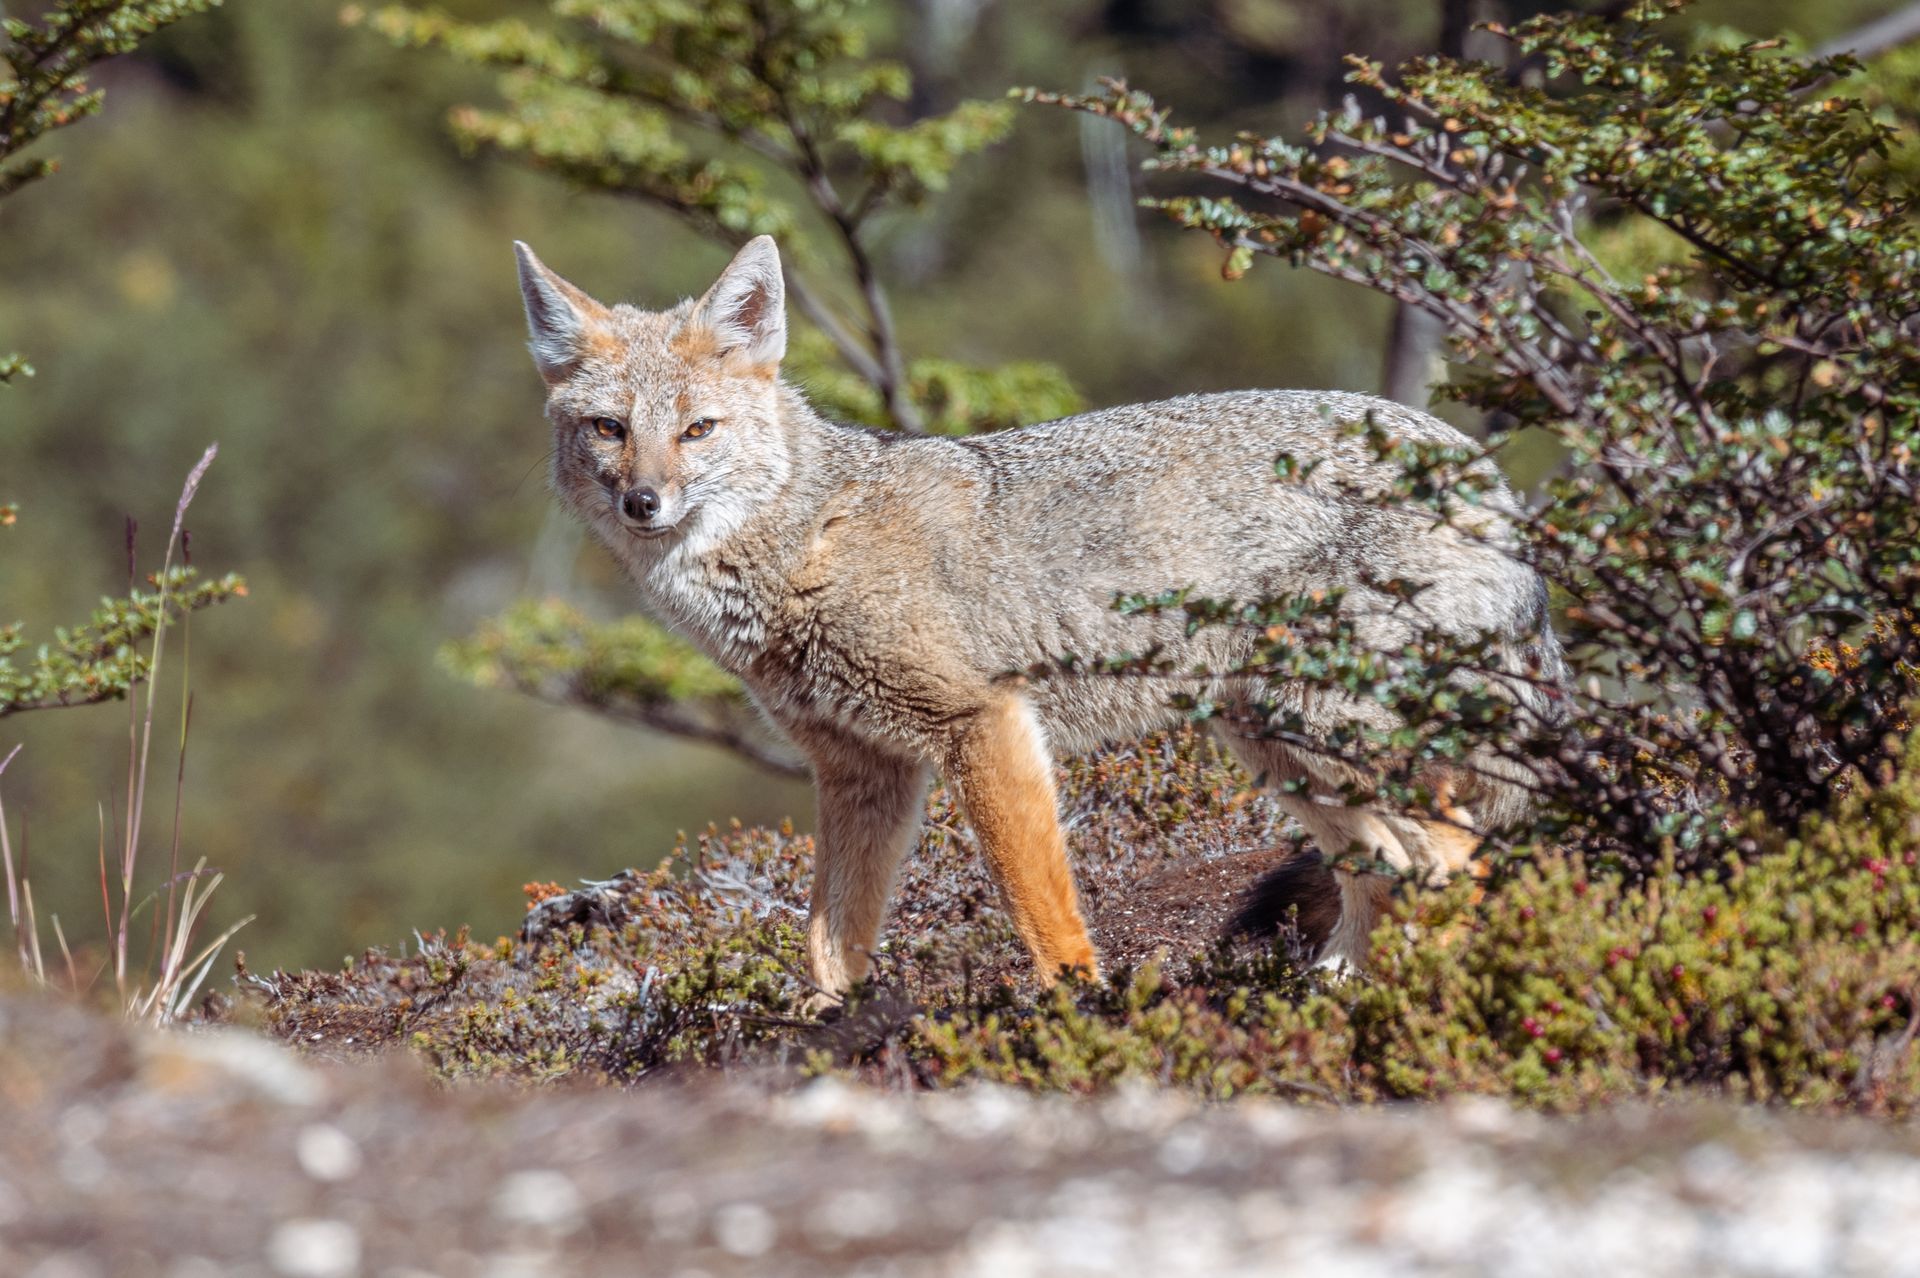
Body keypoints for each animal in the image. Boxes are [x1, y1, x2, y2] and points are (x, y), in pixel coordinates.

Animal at [512, 234, 1567, 993]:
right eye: (610, 430)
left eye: (698, 430)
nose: (643, 503)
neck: (809, 539)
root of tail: (1474, 465)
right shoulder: (863, 772)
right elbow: (830, 941)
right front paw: (827, 1034)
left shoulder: (983, 724)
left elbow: (1038, 907)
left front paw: (1080, 1012)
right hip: (1281, 749)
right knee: (1388, 866)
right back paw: (1344, 989)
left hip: (1325, 735)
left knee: (1460, 858)